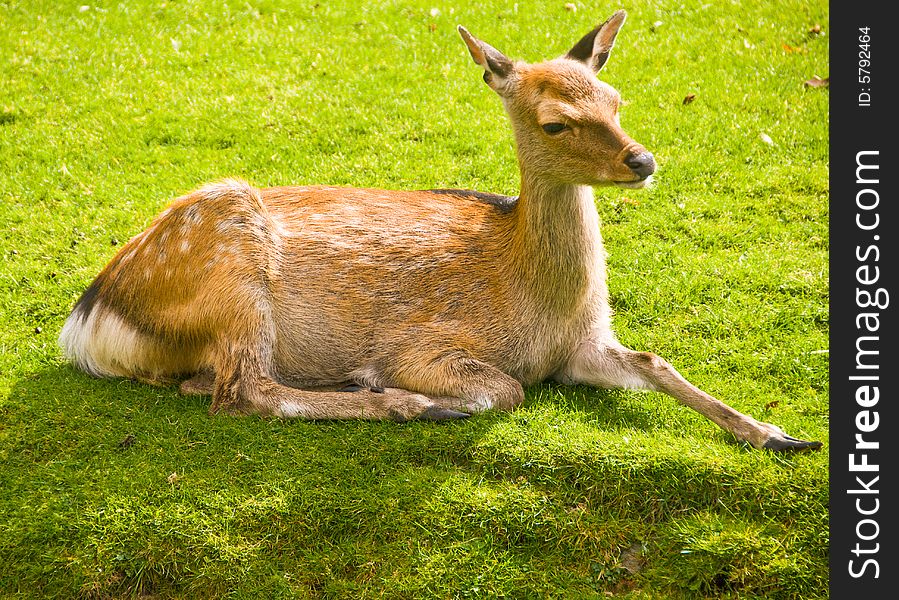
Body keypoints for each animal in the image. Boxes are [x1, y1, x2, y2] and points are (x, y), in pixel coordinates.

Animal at [59, 10, 824, 450]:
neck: (539, 305)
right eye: (555, 122)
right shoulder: (428, 343)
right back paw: (403, 404)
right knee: (244, 392)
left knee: (213, 388)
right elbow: (508, 389)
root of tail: (89, 321)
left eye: (615, 98)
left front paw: (778, 434)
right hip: (231, 268)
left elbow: (653, 360)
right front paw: (416, 393)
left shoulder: (585, 346)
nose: (642, 161)